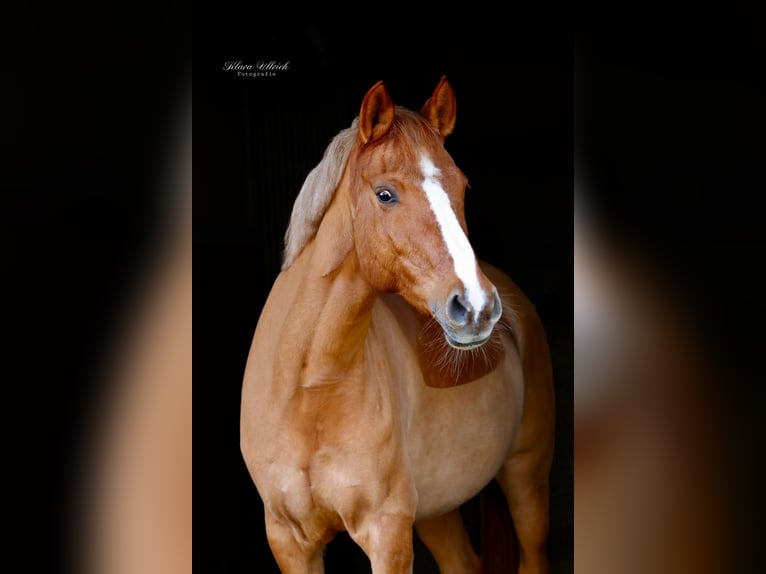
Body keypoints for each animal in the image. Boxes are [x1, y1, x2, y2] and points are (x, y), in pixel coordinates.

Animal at [240, 76, 556, 574]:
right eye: (385, 194)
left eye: (462, 185)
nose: (477, 305)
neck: (307, 389)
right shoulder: (288, 539)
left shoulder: (386, 531)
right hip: (438, 510)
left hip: (526, 479)